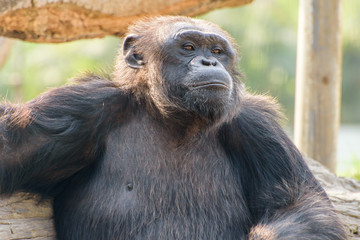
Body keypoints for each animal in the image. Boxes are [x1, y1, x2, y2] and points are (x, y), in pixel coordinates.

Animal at [0, 15, 348, 239]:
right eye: (189, 47)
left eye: (217, 51)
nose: (210, 62)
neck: (174, 119)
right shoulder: (77, 109)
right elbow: (12, 146)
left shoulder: (258, 129)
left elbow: (298, 203)